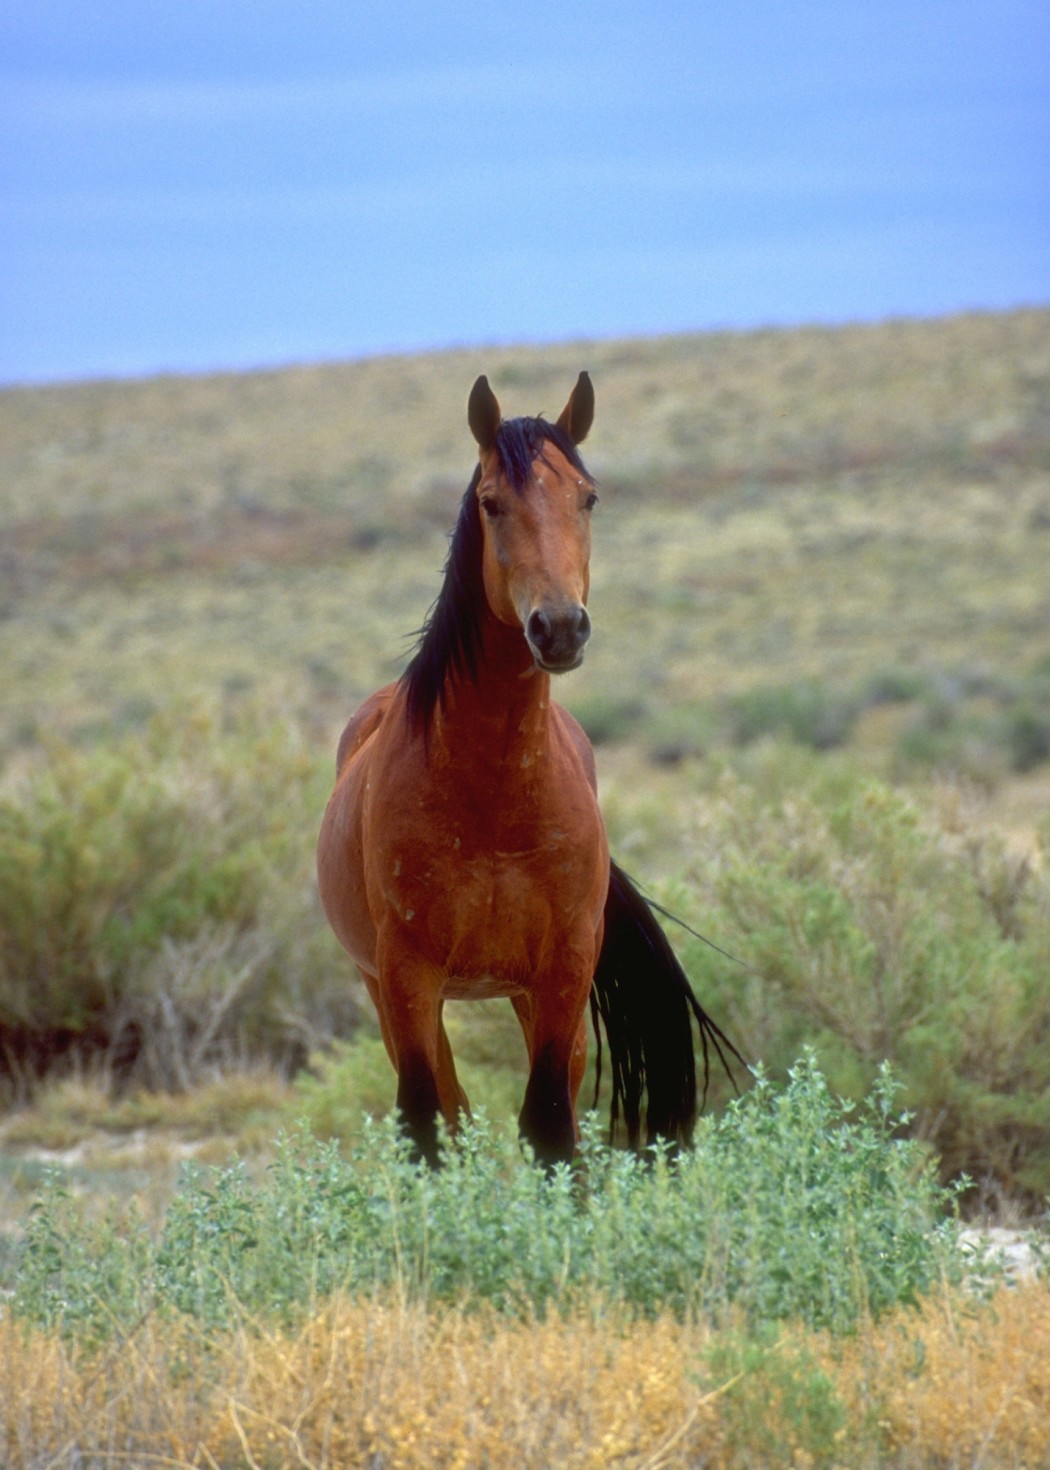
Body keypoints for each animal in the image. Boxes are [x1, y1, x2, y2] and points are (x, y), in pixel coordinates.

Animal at [317, 371, 743, 1168]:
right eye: (492, 502)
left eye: (588, 496)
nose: (560, 627)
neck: (494, 793)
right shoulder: (407, 975)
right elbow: (427, 1125)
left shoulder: (563, 969)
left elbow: (549, 1124)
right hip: (390, 991)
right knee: (449, 1107)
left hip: (530, 996)